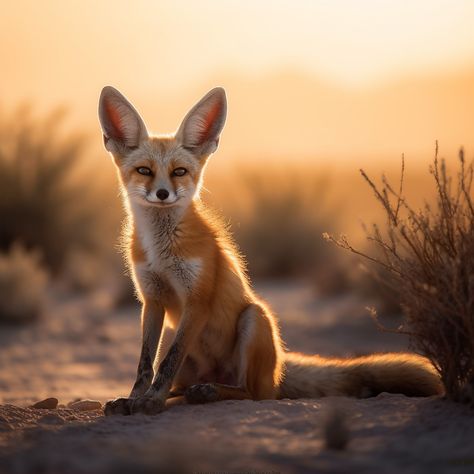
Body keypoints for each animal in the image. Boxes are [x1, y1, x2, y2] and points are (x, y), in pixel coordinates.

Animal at [98, 85, 442, 414]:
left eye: (179, 172)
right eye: (144, 171)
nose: (162, 193)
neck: (162, 251)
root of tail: (278, 371)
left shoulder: (197, 300)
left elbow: (168, 362)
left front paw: (151, 402)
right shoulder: (152, 300)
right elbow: (146, 365)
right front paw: (133, 399)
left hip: (254, 318)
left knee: (253, 393)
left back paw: (209, 392)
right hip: (175, 330)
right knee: (185, 387)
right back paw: (187, 393)